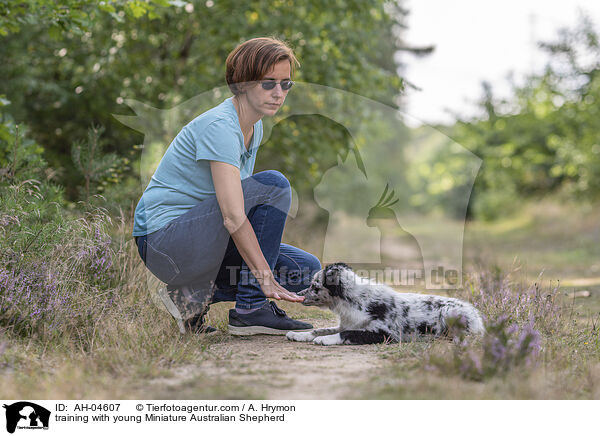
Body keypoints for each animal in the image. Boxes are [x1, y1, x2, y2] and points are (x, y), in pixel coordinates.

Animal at [284, 262, 482, 344]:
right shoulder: (347, 323)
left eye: (314, 286)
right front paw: (300, 335)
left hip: (448, 312)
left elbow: (346, 333)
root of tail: (477, 316)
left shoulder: (385, 334)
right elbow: (322, 329)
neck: (357, 301)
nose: (299, 295)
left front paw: (324, 340)